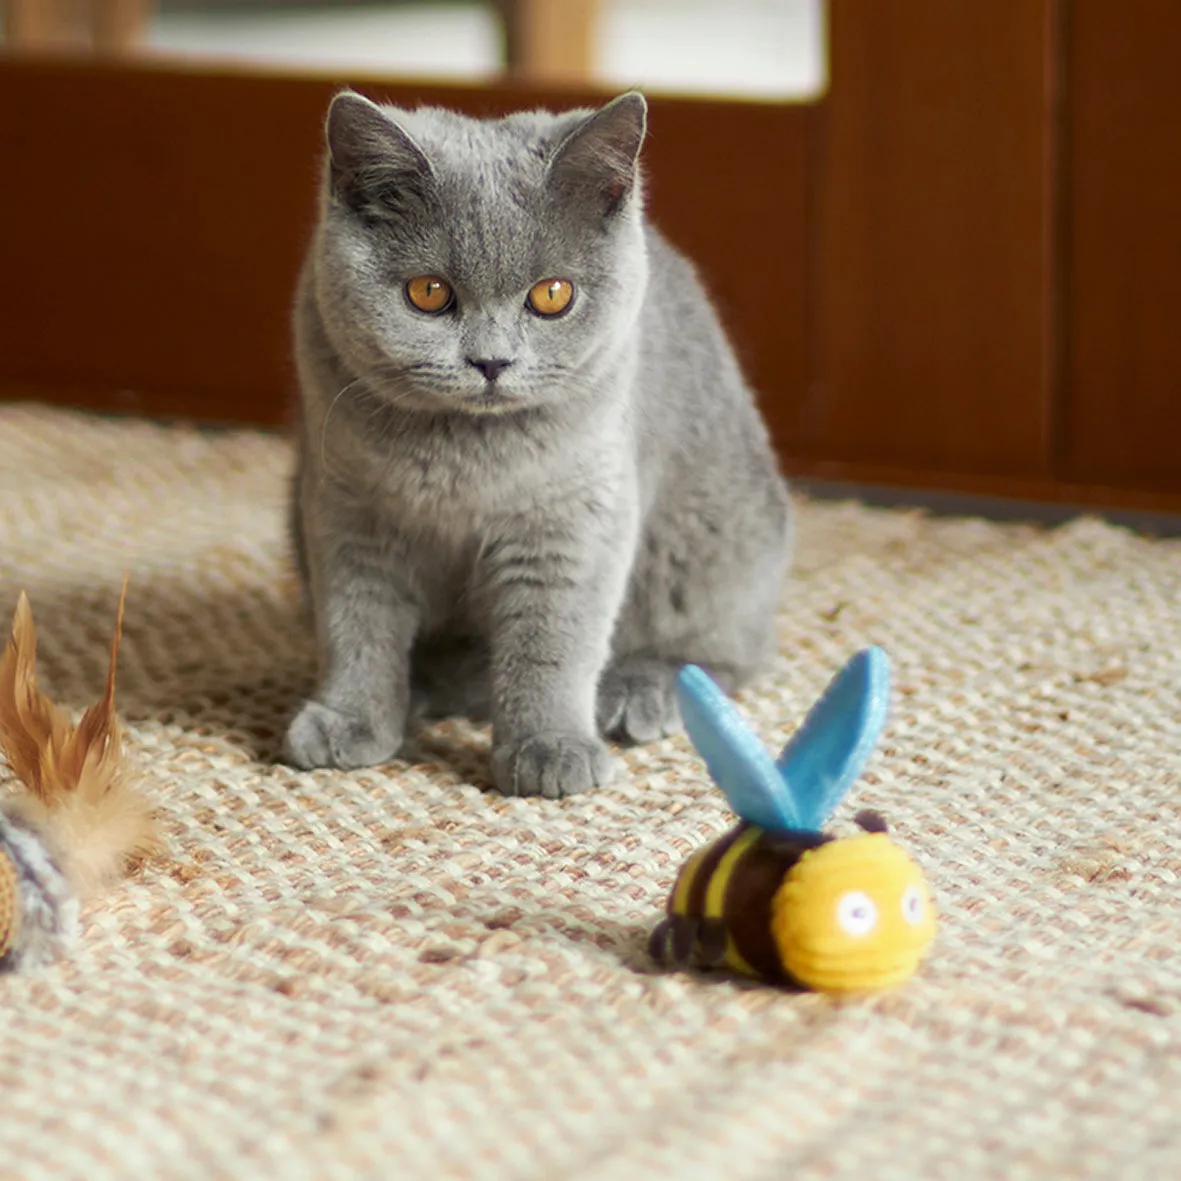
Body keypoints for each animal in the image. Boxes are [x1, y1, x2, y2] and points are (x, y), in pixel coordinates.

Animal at [281, 89, 788, 793]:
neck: (463, 457)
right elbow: (356, 623)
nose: (491, 361)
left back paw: (638, 690)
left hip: (711, 549)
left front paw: (550, 748)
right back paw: (430, 688)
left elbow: (552, 639)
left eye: (552, 296)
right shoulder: (348, 509)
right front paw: (350, 720)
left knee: (728, 656)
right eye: (428, 293)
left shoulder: (572, 518)